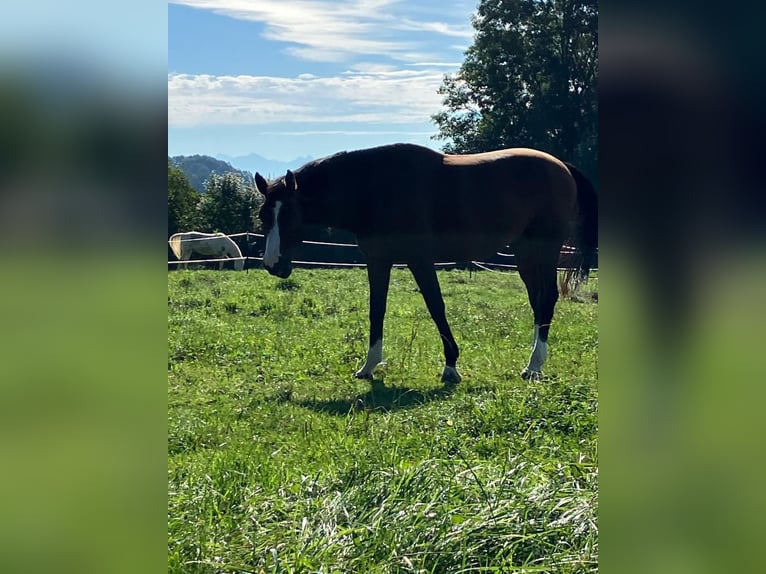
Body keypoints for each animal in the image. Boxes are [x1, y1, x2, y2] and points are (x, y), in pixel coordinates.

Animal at [254, 145, 600, 382]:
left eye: (289, 215)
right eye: (263, 216)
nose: (273, 264)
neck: (375, 189)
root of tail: (562, 166)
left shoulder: (419, 260)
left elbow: (436, 306)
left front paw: (451, 366)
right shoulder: (378, 261)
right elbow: (376, 310)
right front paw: (368, 366)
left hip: (544, 247)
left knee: (548, 298)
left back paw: (534, 366)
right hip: (524, 251)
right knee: (538, 301)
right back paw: (533, 361)